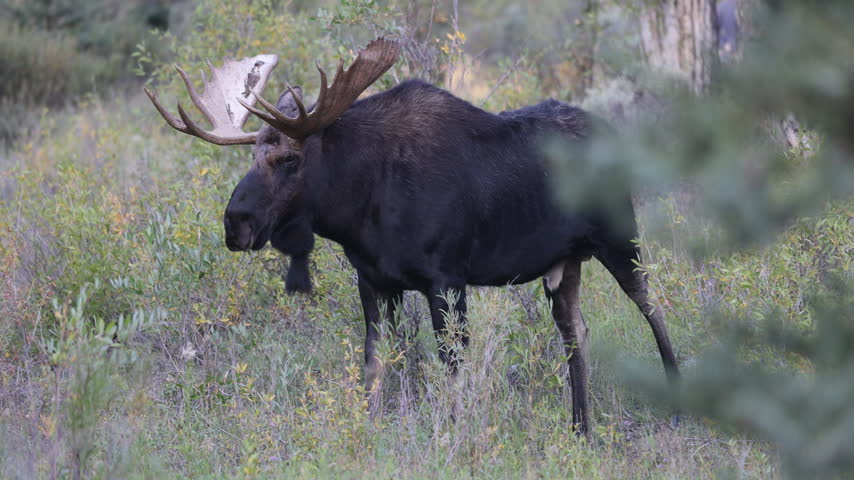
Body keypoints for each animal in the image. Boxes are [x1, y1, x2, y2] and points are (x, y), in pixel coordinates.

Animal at [144, 37, 680, 436]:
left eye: (289, 158)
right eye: (252, 155)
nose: (236, 222)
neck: (360, 208)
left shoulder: (446, 279)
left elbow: (450, 368)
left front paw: (452, 433)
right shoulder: (375, 281)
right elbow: (377, 366)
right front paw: (370, 431)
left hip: (621, 240)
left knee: (653, 309)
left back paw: (675, 398)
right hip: (564, 264)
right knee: (575, 332)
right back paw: (580, 428)